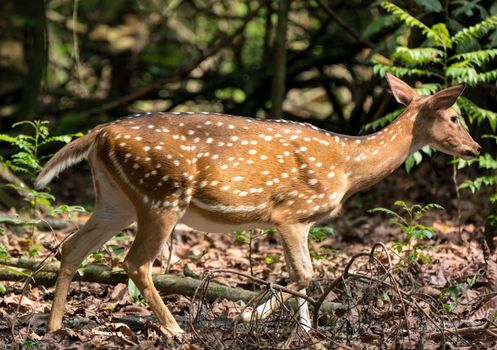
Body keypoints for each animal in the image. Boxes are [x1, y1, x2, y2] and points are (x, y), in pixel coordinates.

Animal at [35, 74, 480, 336]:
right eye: (455, 116)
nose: (476, 148)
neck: (347, 167)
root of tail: (98, 133)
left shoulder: (298, 220)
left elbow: (304, 275)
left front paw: (306, 333)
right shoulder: (290, 211)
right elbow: (305, 273)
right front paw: (250, 317)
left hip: (116, 200)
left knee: (71, 247)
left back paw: (54, 328)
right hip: (161, 194)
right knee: (135, 261)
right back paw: (175, 330)